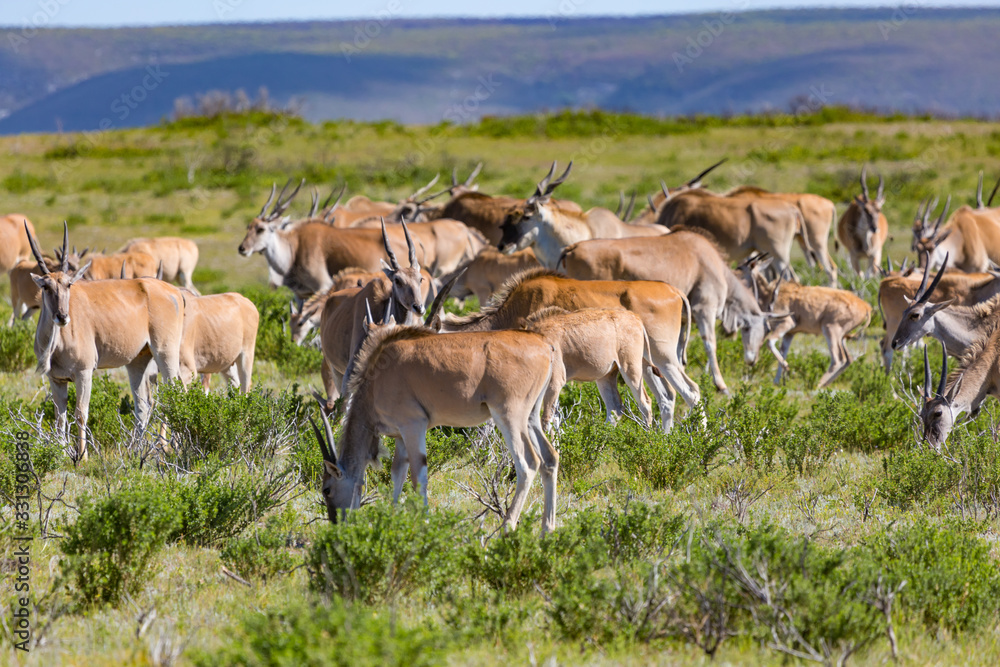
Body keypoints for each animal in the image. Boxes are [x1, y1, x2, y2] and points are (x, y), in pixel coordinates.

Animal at [25, 223, 187, 461]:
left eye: (69, 285)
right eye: (46, 286)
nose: (62, 317)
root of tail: (175, 291)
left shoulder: (84, 373)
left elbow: (81, 413)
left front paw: (82, 456)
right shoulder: (57, 379)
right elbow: (59, 417)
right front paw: (62, 454)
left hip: (165, 354)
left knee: (174, 395)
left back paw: (167, 446)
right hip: (137, 362)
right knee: (143, 405)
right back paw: (136, 450)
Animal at [524, 307, 655, 428]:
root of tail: (636, 318)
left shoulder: (554, 383)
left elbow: (546, 419)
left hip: (631, 369)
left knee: (645, 402)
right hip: (606, 377)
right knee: (615, 408)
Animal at [560, 230, 773, 394]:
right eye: (764, 330)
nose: (752, 360)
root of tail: (571, 249)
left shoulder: (683, 322)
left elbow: (678, 354)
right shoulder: (705, 310)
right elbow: (710, 344)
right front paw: (721, 386)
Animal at [740, 256, 871, 388]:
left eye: (741, 269)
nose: (751, 361)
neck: (770, 293)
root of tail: (865, 306)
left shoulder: (786, 324)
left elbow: (770, 342)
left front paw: (786, 370)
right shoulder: (789, 334)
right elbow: (783, 352)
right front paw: (777, 381)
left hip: (830, 331)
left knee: (838, 360)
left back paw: (817, 386)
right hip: (842, 338)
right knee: (849, 359)